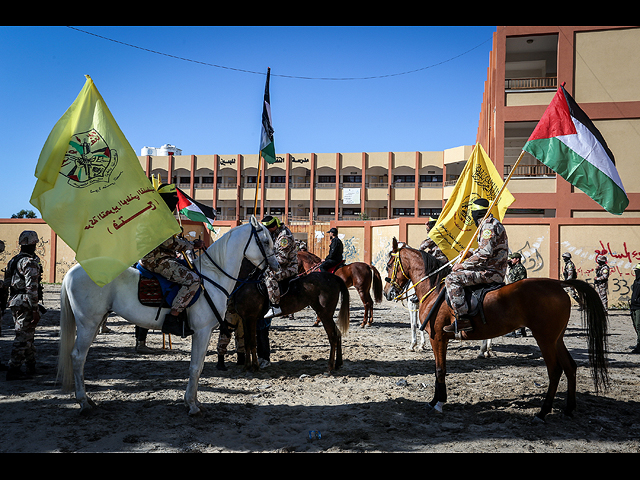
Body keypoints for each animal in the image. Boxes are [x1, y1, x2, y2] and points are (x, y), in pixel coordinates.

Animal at [58, 218, 278, 416]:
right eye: (265, 240)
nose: (275, 266)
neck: (212, 278)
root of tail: (71, 272)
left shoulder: (206, 332)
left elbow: (199, 367)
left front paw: (194, 401)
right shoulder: (202, 331)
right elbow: (195, 368)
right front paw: (192, 406)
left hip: (95, 323)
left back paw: (88, 400)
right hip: (88, 323)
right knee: (77, 357)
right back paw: (83, 402)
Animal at [382, 238, 608, 422]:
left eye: (389, 265)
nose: (387, 292)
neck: (435, 289)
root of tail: (558, 284)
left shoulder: (437, 338)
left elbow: (440, 370)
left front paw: (438, 402)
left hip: (544, 339)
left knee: (555, 371)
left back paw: (543, 412)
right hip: (556, 339)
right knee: (570, 367)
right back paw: (569, 409)